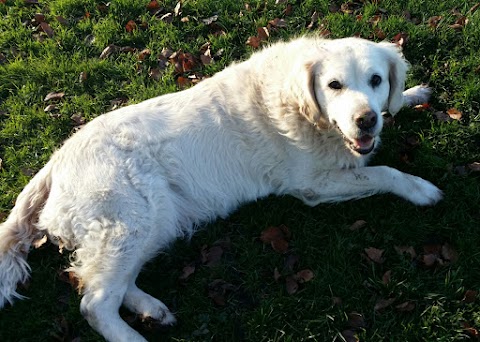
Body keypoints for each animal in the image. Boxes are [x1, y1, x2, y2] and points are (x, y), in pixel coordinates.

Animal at [0, 36, 442, 340]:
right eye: (334, 85)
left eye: (376, 80)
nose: (366, 120)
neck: (305, 109)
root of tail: (55, 162)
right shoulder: (313, 185)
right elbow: (385, 172)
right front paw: (421, 189)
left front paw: (411, 93)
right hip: (132, 218)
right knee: (94, 301)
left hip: (158, 218)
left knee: (110, 283)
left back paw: (151, 308)